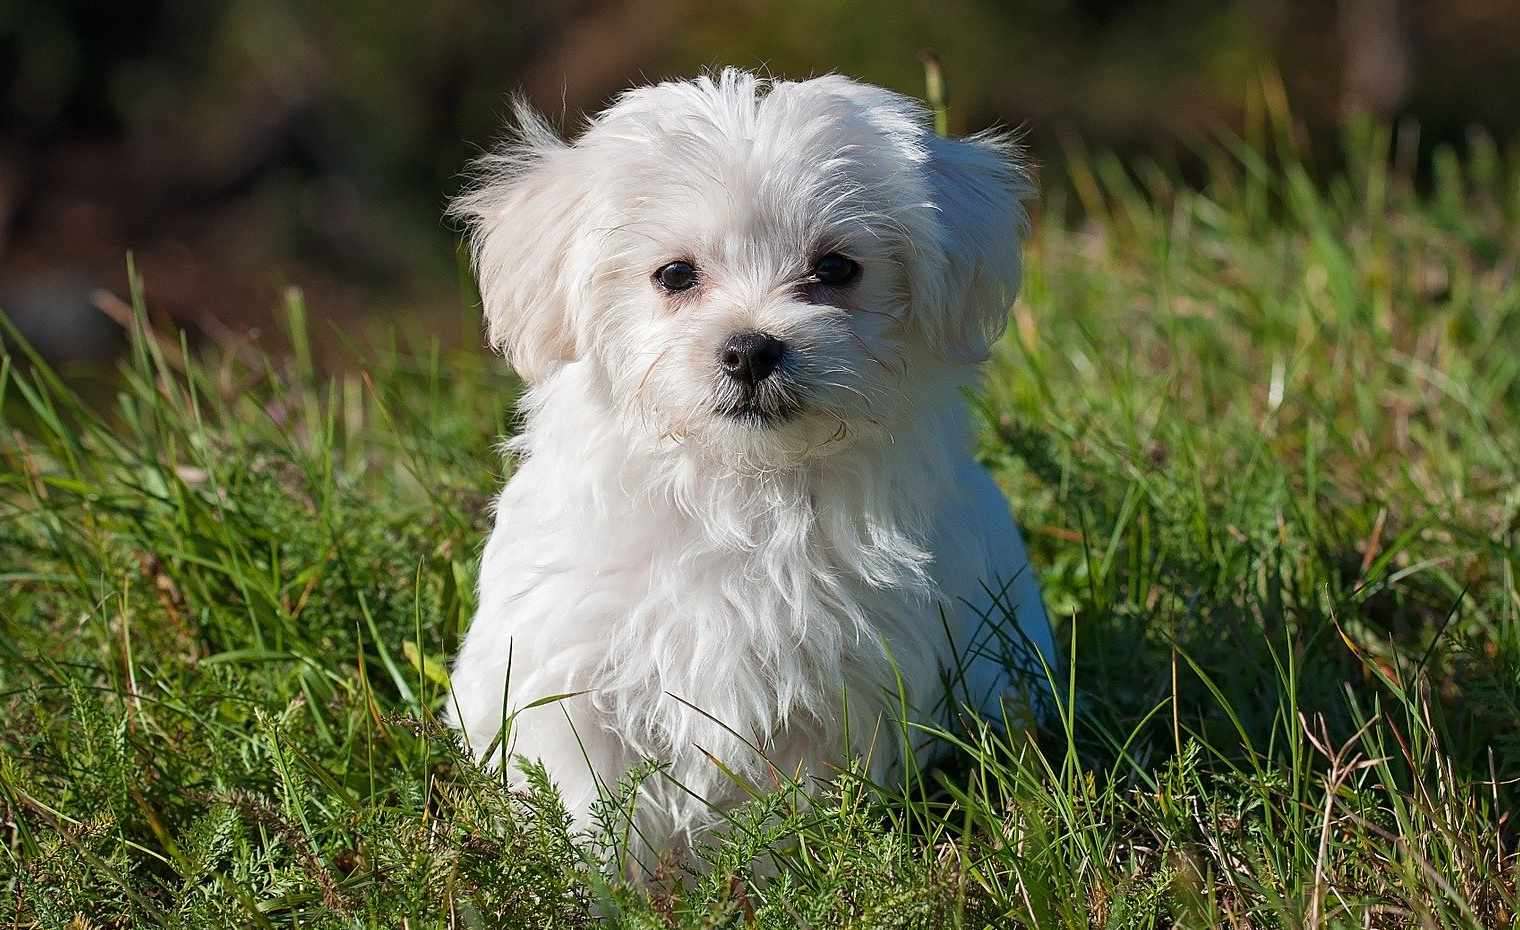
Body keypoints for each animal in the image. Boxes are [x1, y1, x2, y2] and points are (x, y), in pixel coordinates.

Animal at [443, 69, 1051, 869]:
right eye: (674, 275)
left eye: (836, 268)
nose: (751, 348)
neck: (740, 487)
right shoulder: (570, 673)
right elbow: (593, 803)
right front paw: (604, 882)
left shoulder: (837, 690)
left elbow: (788, 809)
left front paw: (775, 877)